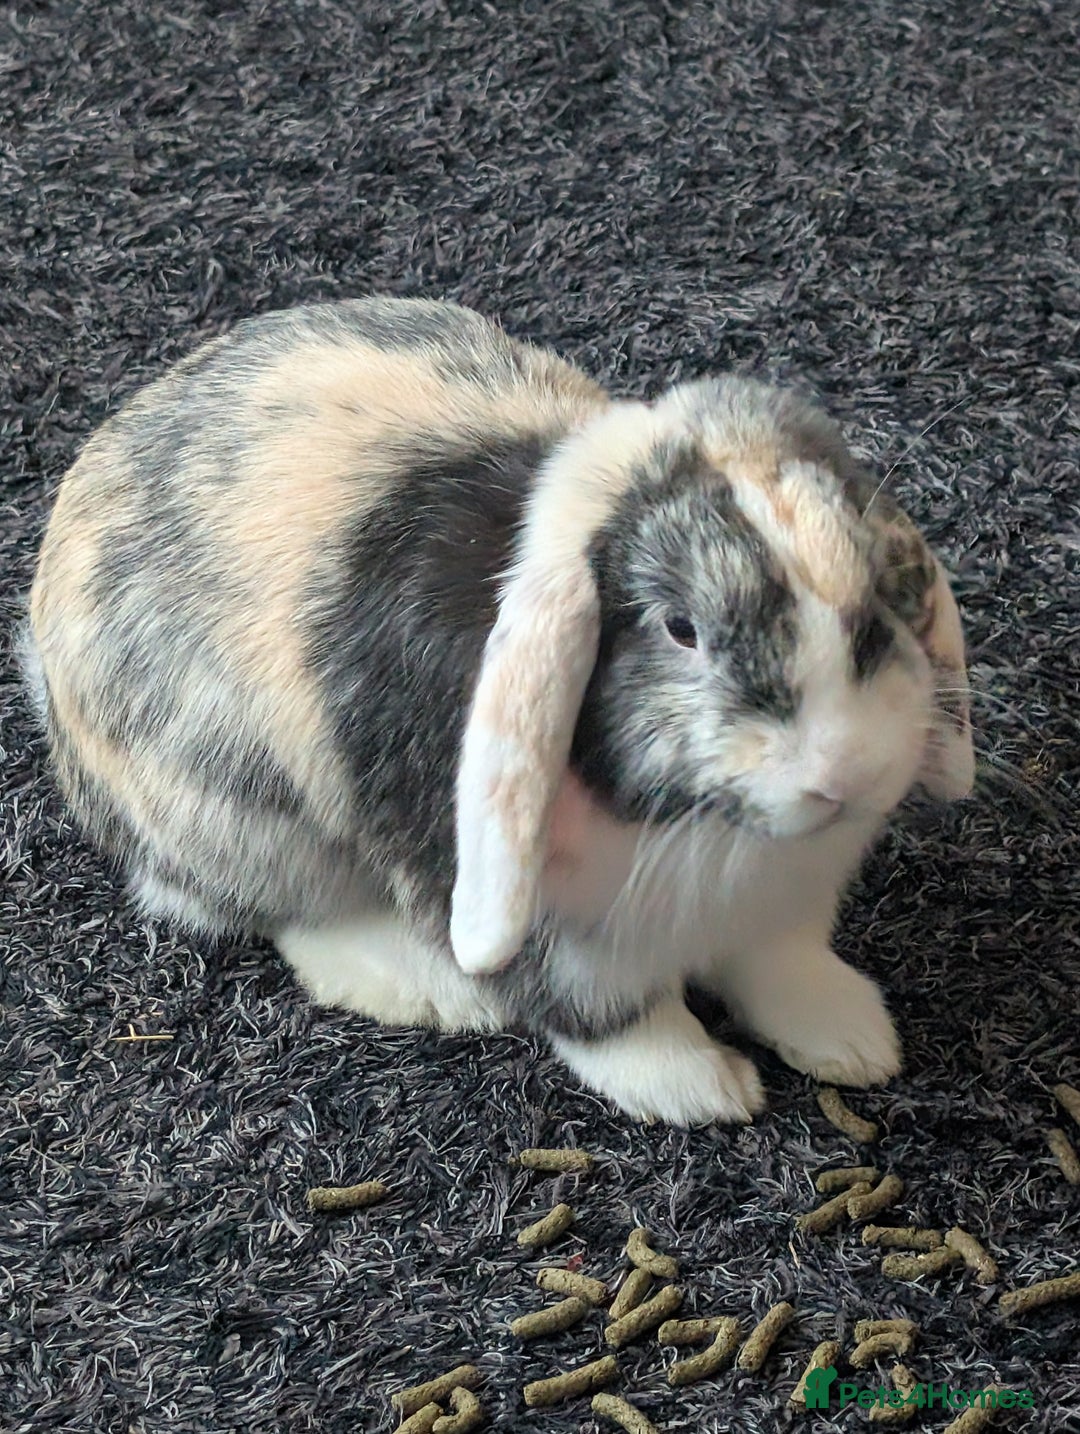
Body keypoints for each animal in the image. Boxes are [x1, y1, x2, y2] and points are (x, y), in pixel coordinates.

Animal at [25, 296, 974, 1126]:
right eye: (681, 628)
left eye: (877, 587)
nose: (844, 774)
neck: (702, 828)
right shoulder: (549, 932)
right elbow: (611, 1020)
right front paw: (699, 1089)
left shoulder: (780, 914)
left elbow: (783, 966)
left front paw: (853, 1037)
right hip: (244, 821)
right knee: (271, 910)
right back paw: (426, 985)